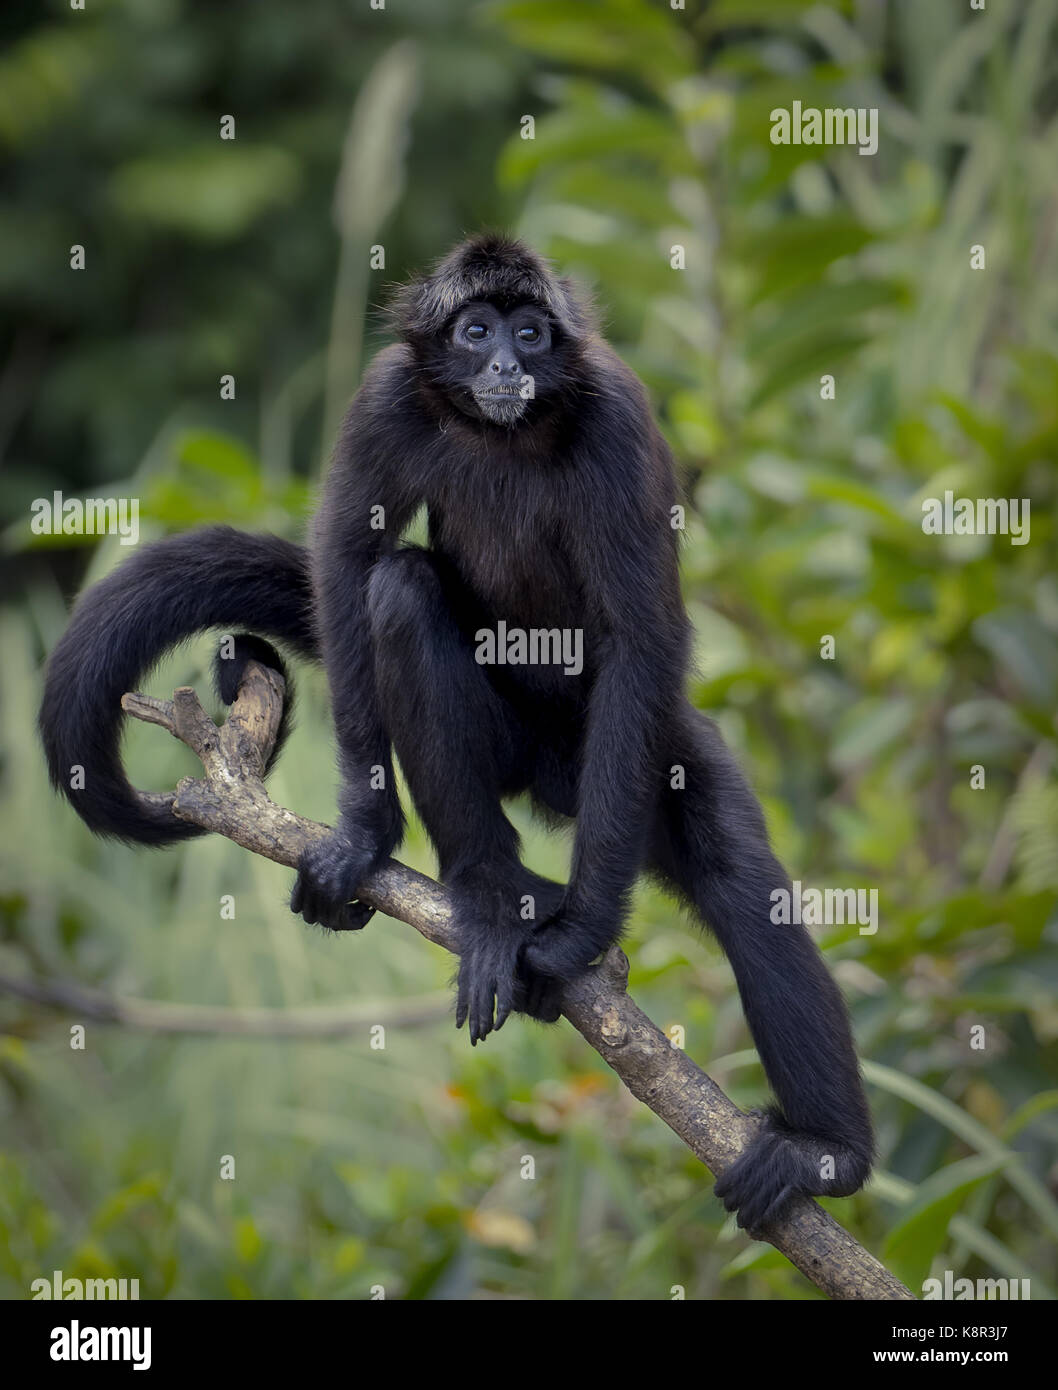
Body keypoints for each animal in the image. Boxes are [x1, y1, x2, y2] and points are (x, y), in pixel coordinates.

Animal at [39, 234, 873, 1232]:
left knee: (737, 875)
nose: (508, 364)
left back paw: (823, 1153)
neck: (502, 431)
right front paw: (365, 838)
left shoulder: (620, 420)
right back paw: (490, 890)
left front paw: (579, 936)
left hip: (641, 749)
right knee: (401, 589)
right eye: (476, 332)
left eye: (530, 332)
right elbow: (349, 563)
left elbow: (642, 638)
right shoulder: (387, 398)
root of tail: (553, 770)